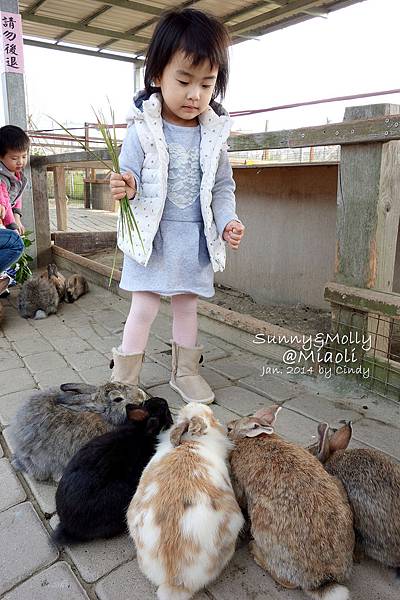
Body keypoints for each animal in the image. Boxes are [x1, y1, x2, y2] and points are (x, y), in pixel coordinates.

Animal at [227, 404, 354, 600]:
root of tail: (323, 579)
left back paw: (255, 551)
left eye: (229, 429)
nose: (225, 427)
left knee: (287, 582)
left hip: (262, 525)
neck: (251, 440)